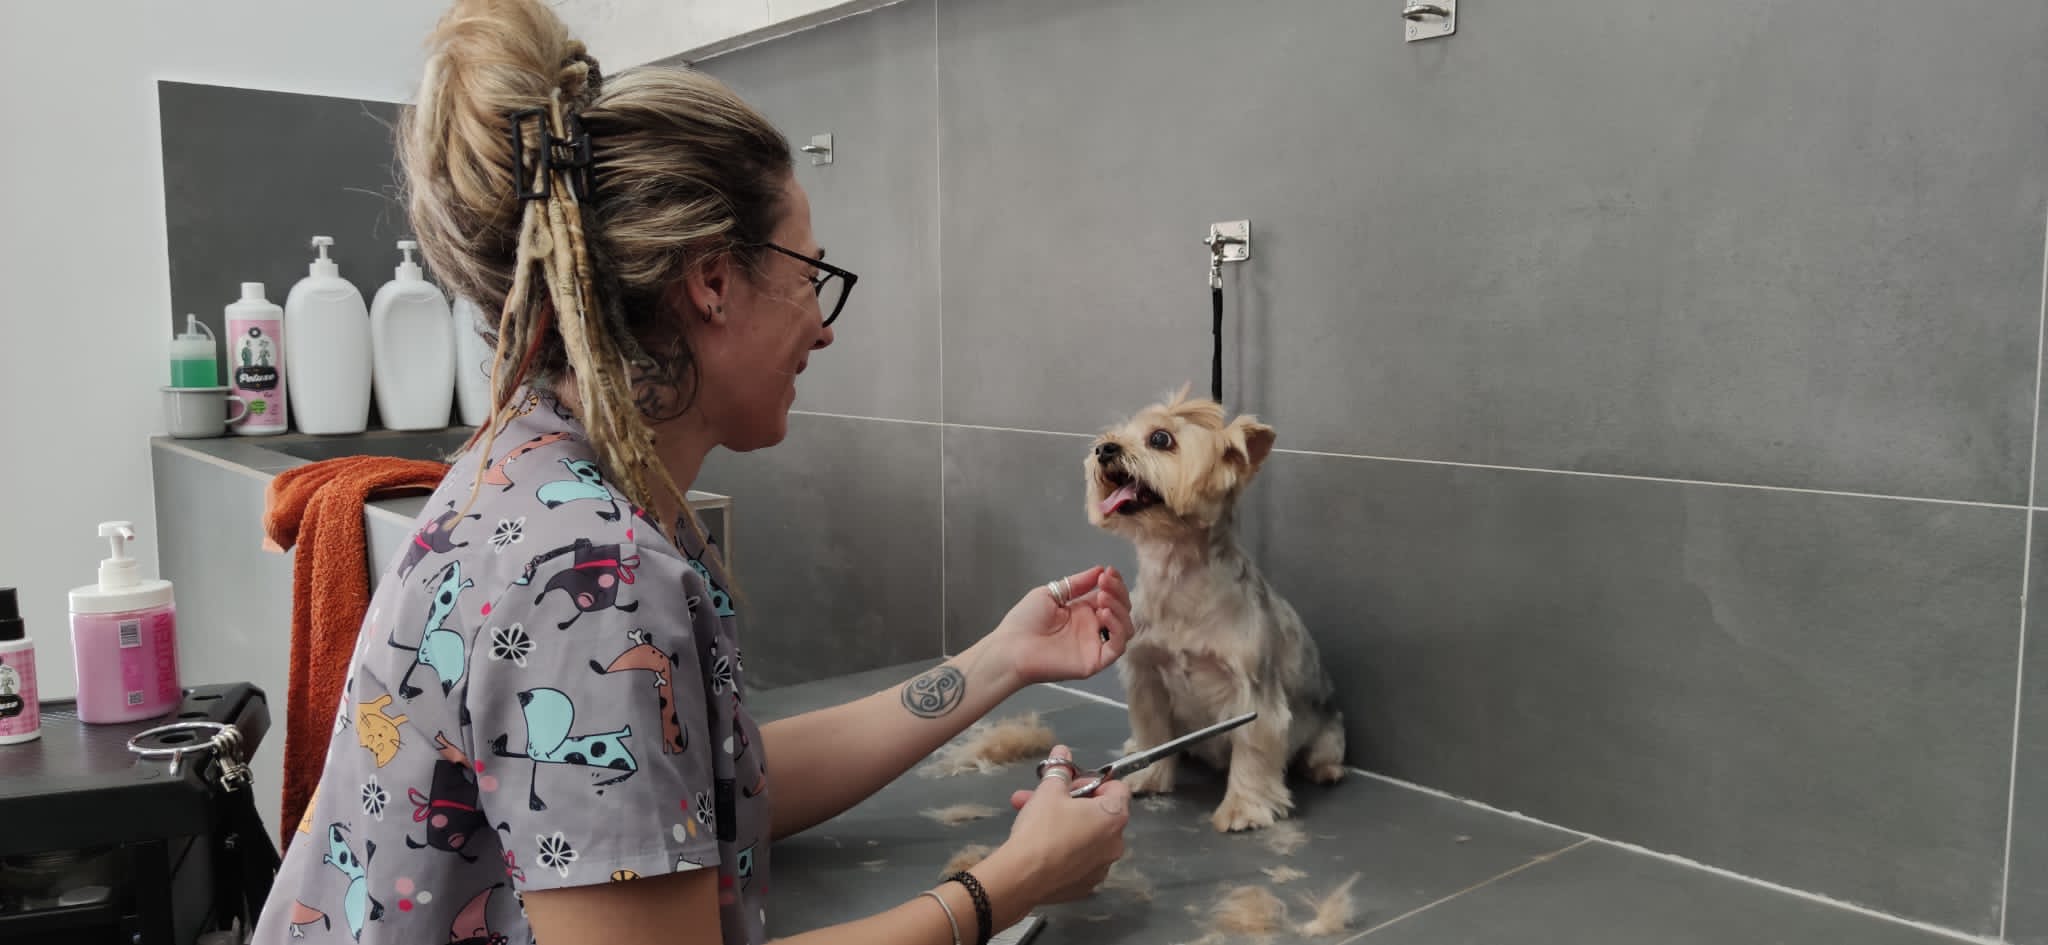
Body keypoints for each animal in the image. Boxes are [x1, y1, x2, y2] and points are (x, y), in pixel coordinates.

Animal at [1081, 387, 1351, 828]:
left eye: (1160, 439)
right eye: (1116, 434)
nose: (1104, 449)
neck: (1177, 574)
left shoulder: (1253, 691)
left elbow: (1254, 749)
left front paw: (1244, 807)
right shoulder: (1146, 676)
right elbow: (1153, 730)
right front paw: (1148, 777)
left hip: (1328, 728)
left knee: (1323, 750)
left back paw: (1326, 770)